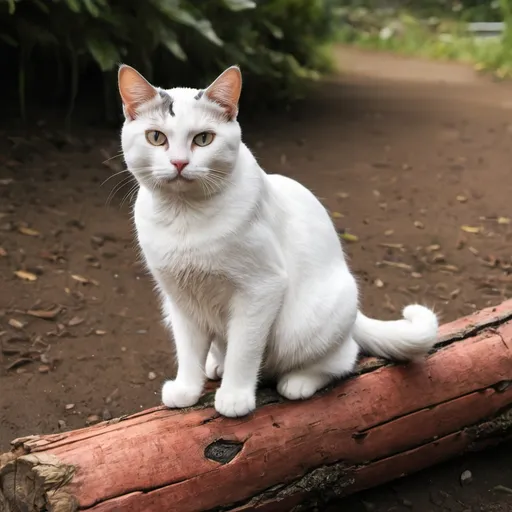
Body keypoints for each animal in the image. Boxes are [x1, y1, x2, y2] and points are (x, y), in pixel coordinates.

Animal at [118, 64, 438, 418]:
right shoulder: (180, 299)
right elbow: (188, 351)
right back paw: (216, 364)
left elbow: (244, 350)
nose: (178, 162)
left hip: (312, 322)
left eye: (203, 139)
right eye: (156, 137)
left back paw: (297, 382)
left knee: (343, 357)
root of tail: (355, 315)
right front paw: (187, 389)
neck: (185, 216)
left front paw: (235, 397)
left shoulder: (261, 288)